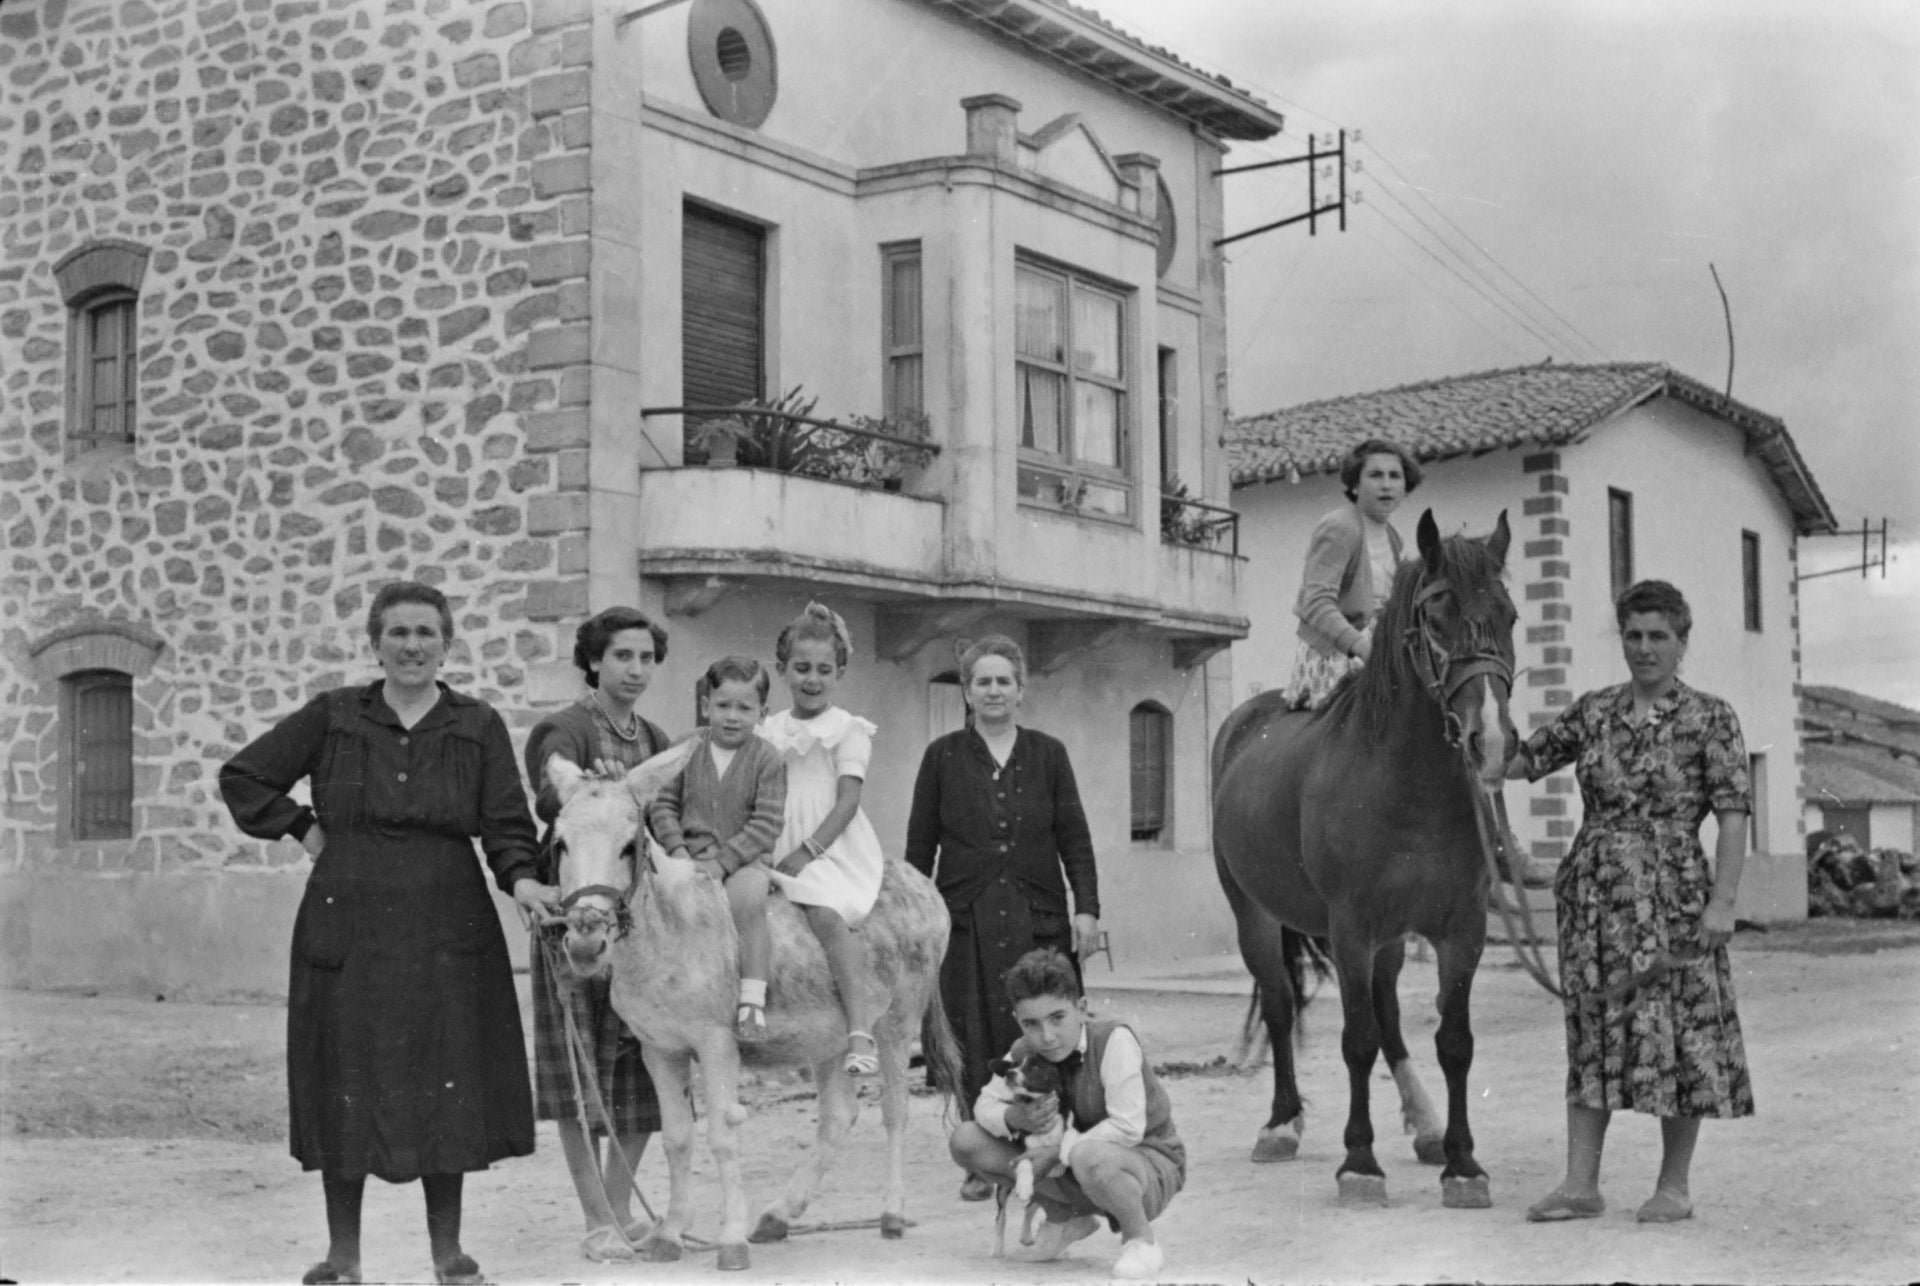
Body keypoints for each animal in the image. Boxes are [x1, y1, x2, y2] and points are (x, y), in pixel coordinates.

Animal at [990, 1059, 1067, 1259]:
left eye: (1036, 1066)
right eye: (1014, 1064)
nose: (1009, 1073)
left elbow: (1059, 1151)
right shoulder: (1021, 1153)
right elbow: (1024, 1163)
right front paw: (1024, 1187)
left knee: (1030, 1208)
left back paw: (1026, 1236)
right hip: (1002, 1190)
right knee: (1001, 1216)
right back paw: (997, 1247)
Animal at [1213, 510, 1512, 1213]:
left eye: (1510, 615)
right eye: (1438, 616)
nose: (1490, 740)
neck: (1408, 785)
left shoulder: (1461, 929)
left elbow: (1452, 1041)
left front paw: (1461, 1162)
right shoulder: (1350, 928)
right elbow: (1357, 1040)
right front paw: (1359, 1162)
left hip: (1392, 939)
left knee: (1390, 1012)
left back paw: (1424, 1123)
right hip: (1255, 916)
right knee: (1279, 1003)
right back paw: (1282, 1123)